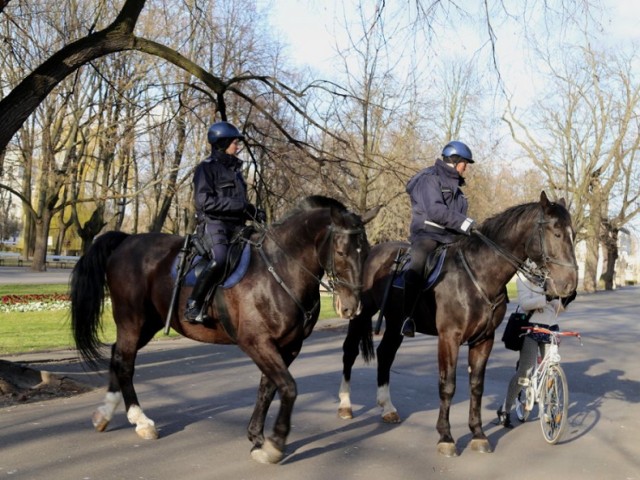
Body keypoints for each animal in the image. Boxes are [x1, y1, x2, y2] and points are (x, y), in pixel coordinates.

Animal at [70, 197, 380, 464]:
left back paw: (105, 414)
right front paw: (275, 444)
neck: (279, 272)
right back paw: (141, 420)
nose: (351, 307)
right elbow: (288, 388)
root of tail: (127, 240)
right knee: (125, 362)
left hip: (148, 323)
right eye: (341, 252)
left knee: (117, 355)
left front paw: (257, 438)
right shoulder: (256, 343)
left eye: (367, 251)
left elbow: (268, 389)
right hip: (132, 320)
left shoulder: (288, 347)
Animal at [338, 192, 576, 458]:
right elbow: (448, 385)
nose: (569, 285)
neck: (478, 275)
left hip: (396, 323)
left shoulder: (484, 340)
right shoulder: (449, 338)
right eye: (556, 233)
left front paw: (478, 434)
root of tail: (373, 251)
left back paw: (387, 407)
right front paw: (446, 437)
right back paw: (345, 405)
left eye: (573, 234)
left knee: (385, 354)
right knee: (350, 351)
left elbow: (476, 386)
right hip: (360, 312)